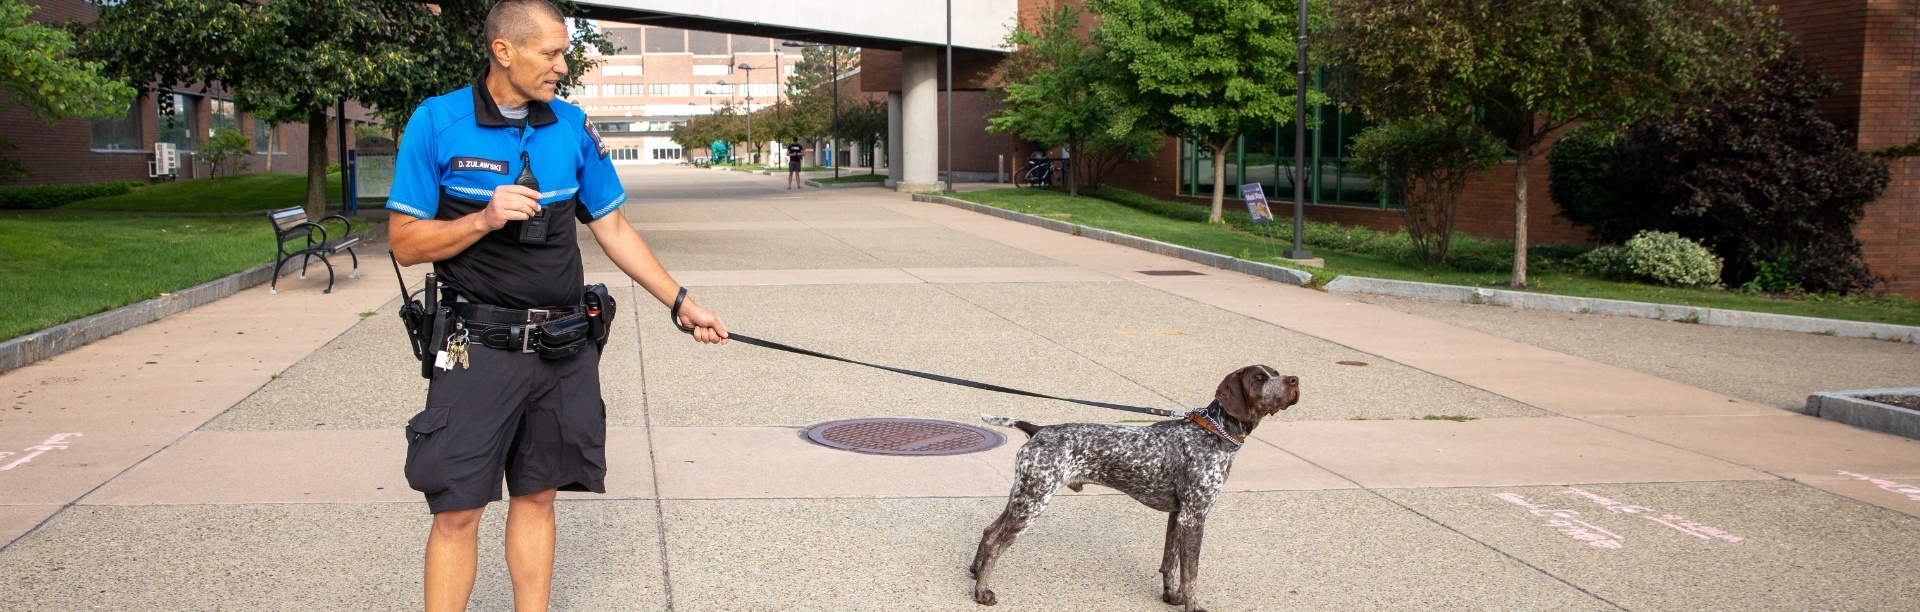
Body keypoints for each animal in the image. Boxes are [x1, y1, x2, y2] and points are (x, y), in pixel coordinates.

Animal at [967, 366, 1297, 610]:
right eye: (1259, 378)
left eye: (1276, 372)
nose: (1295, 380)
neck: (1213, 432)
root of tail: (1038, 430)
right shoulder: (1195, 517)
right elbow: (1191, 574)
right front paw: (1192, 606)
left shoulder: (1179, 515)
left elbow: (1170, 563)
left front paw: (1171, 597)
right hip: (1034, 501)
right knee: (996, 543)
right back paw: (982, 593)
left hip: (1023, 496)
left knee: (989, 531)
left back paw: (975, 572)